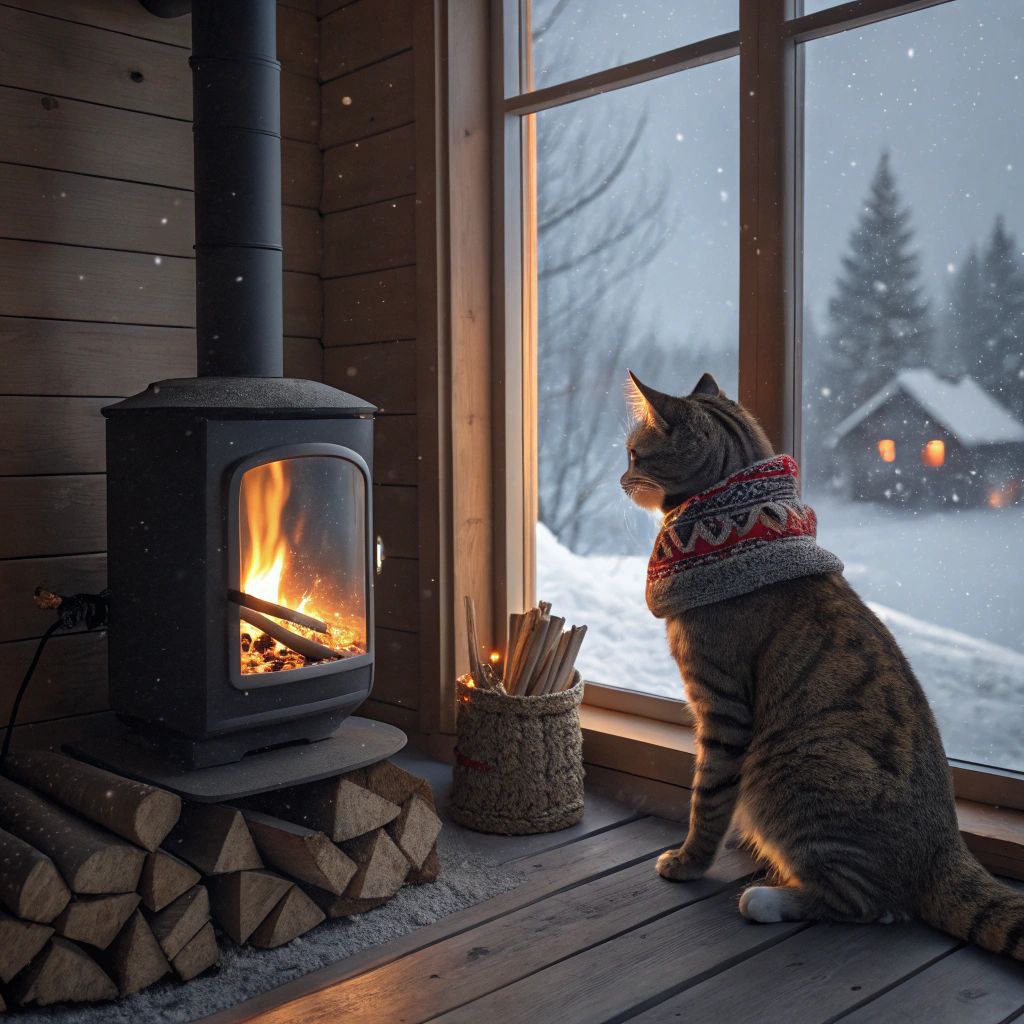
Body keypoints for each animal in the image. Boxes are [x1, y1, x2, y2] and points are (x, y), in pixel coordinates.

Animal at [618, 370, 1024, 958]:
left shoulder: (722, 707)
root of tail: (946, 849)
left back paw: (767, 899)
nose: (619, 477)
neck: (735, 529)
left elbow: (708, 799)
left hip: (793, 766)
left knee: (872, 904)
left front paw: (688, 861)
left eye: (634, 453)